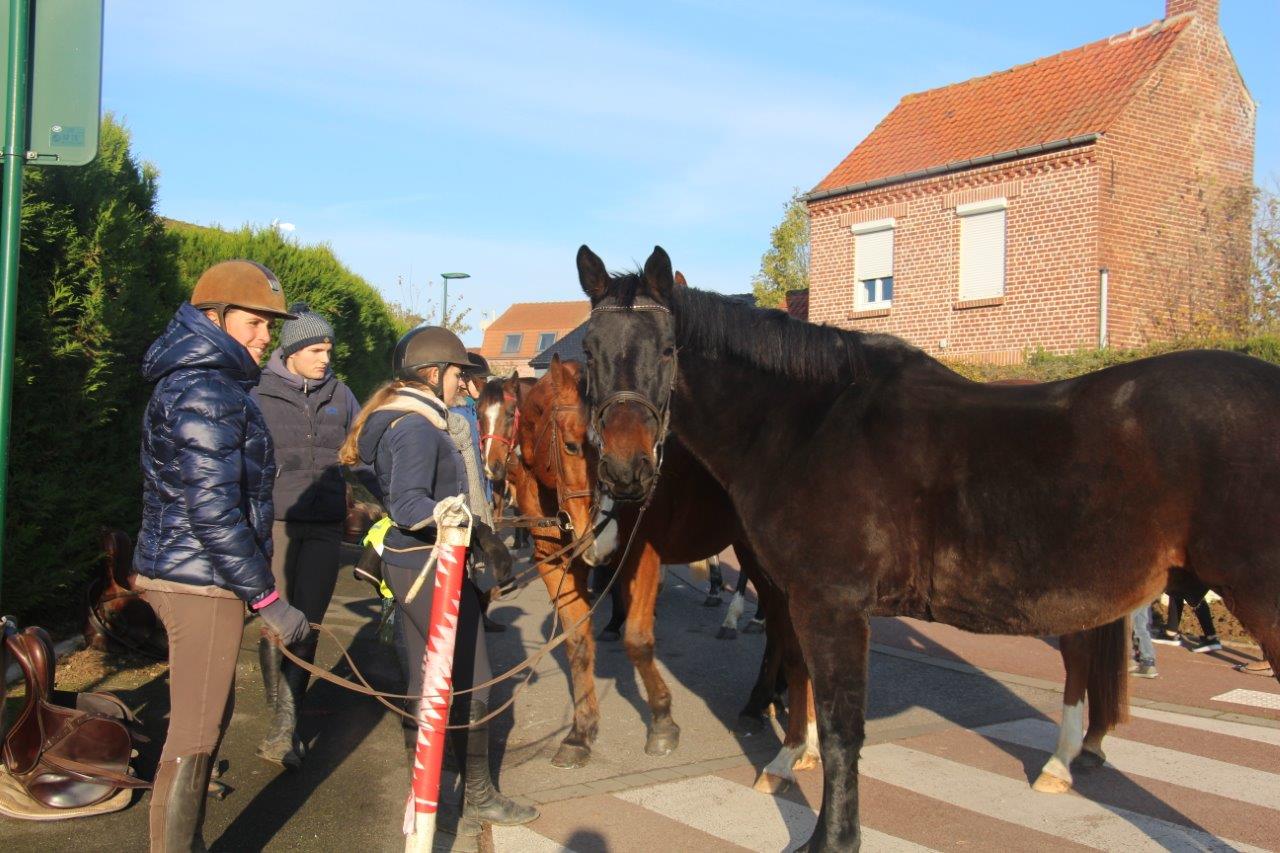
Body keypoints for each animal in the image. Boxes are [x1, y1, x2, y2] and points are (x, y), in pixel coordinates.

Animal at [509, 350, 819, 768]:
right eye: (572, 446)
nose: (597, 537)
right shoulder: (555, 563)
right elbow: (577, 642)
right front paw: (580, 732)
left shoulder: (641, 557)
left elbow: (638, 640)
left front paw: (661, 721)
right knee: (776, 623)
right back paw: (761, 703)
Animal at [581, 242, 1280, 845]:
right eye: (589, 349)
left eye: (667, 348)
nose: (624, 469)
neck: (807, 424)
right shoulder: (799, 595)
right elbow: (805, 683)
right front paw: (789, 760)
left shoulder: (830, 604)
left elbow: (842, 729)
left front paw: (829, 835)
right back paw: (1066, 759)